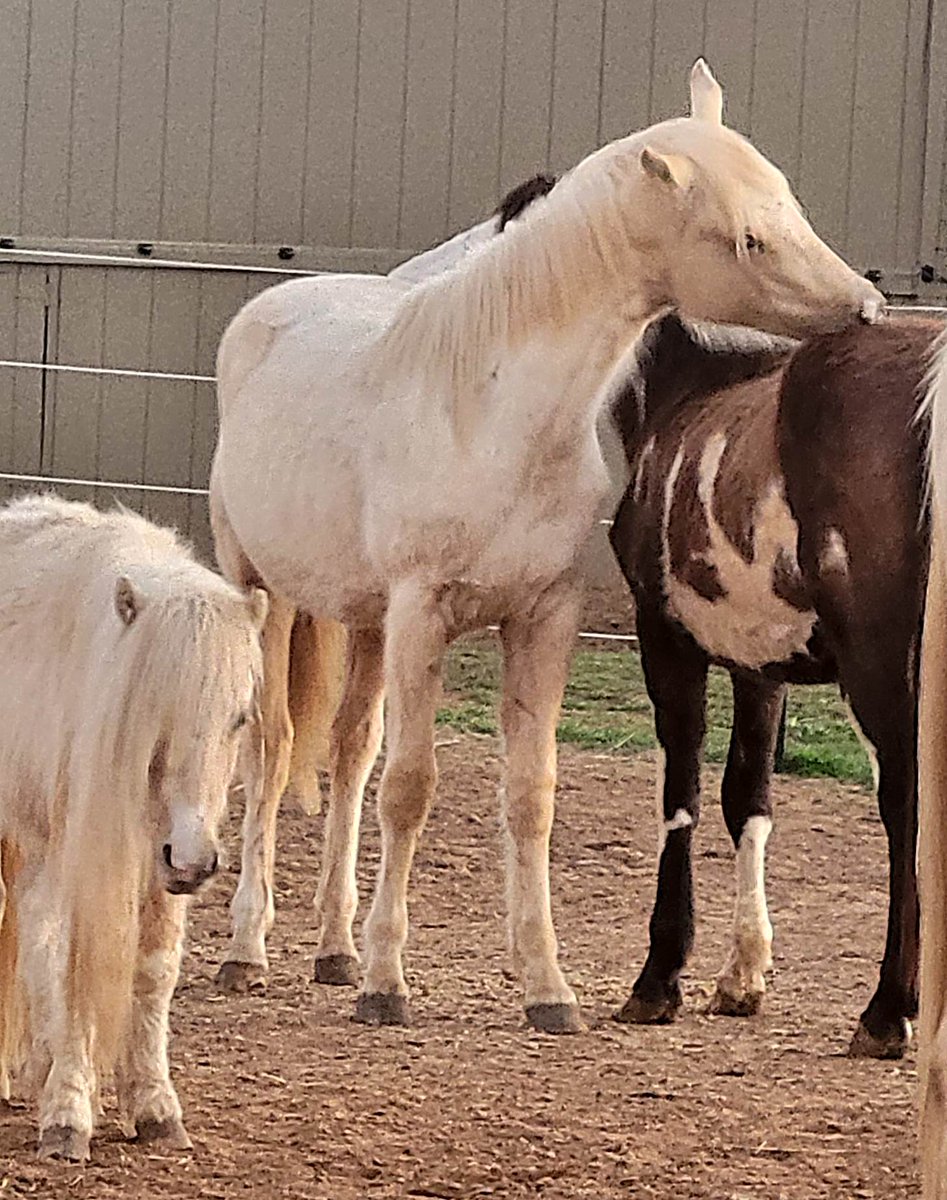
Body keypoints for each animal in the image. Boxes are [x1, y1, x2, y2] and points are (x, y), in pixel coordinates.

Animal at [0, 495, 265, 1161]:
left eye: (238, 718)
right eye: (152, 713)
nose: (195, 861)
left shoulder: (159, 870)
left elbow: (152, 971)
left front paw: (153, 1106)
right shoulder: (69, 862)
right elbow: (66, 967)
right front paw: (68, 1113)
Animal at [209, 58, 883, 1035]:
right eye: (749, 238)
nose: (866, 310)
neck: (492, 411)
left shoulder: (542, 618)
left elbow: (528, 797)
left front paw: (546, 988)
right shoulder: (423, 615)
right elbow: (410, 789)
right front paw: (387, 983)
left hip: (364, 622)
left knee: (347, 749)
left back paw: (331, 948)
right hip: (261, 589)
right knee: (268, 749)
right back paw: (247, 950)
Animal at [608, 311, 942, 1060]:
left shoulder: (663, 637)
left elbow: (681, 798)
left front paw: (657, 979)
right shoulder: (758, 663)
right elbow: (747, 800)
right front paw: (741, 977)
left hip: (879, 667)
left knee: (905, 810)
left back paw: (886, 1012)